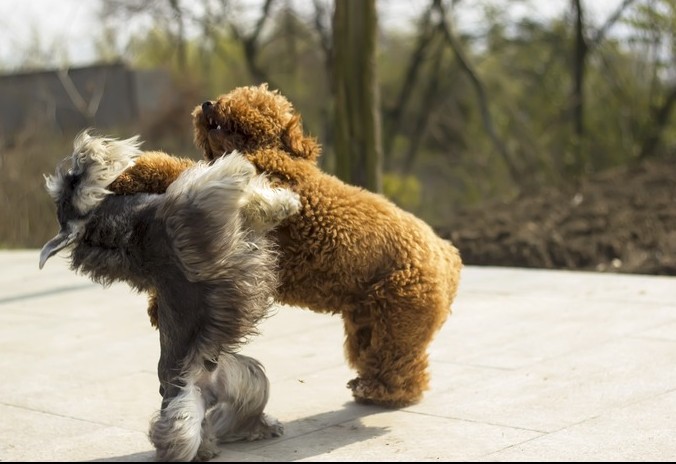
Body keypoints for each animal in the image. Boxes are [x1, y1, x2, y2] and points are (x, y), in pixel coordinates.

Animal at [38, 130, 300, 460]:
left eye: (71, 180)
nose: (84, 148)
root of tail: (204, 388)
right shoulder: (190, 209)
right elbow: (225, 180)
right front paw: (278, 197)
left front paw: (281, 200)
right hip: (184, 415)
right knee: (179, 438)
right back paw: (205, 445)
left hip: (250, 381)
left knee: (234, 417)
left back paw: (248, 431)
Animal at [111, 85, 462, 408]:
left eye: (252, 103)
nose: (209, 103)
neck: (268, 150)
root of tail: (448, 255)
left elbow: (177, 170)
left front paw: (129, 173)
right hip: (367, 320)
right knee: (381, 356)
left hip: (399, 318)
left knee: (402, 364)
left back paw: (381, 392)